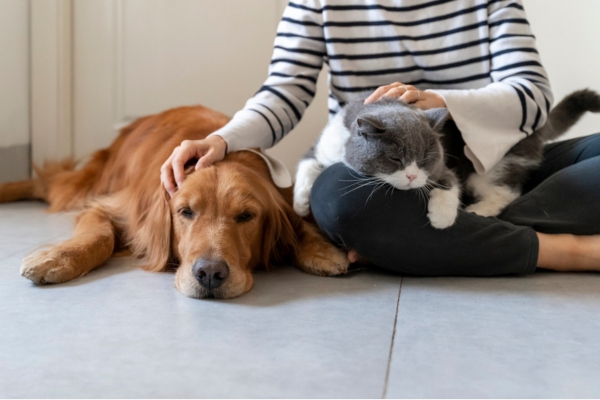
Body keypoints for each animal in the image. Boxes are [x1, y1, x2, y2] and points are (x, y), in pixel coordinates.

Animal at [0, 104, 350, 298]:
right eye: (186, 212)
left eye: (246, 216)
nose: (210, 274)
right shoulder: (111, 207)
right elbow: (99, 237)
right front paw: (55, 258)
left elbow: (301, 224)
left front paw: (322, 251)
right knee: (46, 183)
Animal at [294, 89, 600, 230]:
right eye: (395, 158)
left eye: (425, 160)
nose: (411, 176)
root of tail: (537, 122)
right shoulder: (322, 146)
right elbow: (307, 164)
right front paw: (299, 204)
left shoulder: (445, 167)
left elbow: (449, 183)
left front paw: (441, 217)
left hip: (491, 166)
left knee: (506, 191)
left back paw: (479, 210)